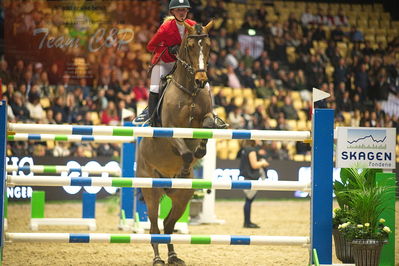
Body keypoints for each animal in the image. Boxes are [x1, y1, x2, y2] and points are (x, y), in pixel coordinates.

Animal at [136, 21, 217, 266]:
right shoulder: (172, 132)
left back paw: (173, 256)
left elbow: (208, 126)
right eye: (189, 47)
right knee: (154, 226)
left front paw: (201, 149)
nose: (201, 80)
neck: (189, 90)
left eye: (208, 46)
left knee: (168, 225)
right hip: (150, 191)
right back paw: (158, 258)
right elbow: (186, 152)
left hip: (183, 197)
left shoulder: (204, 118)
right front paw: (185, 166)